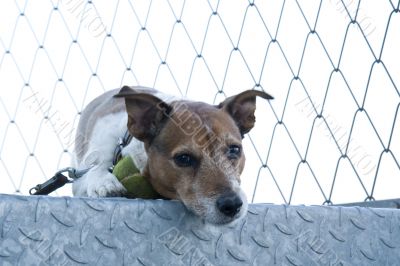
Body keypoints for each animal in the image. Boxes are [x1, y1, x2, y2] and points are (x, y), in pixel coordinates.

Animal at [71, 86, 272, 223]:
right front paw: (105, 183)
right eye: (183, 158)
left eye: (234, 149)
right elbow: (95, 170)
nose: (232, 204)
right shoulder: (83, 175)